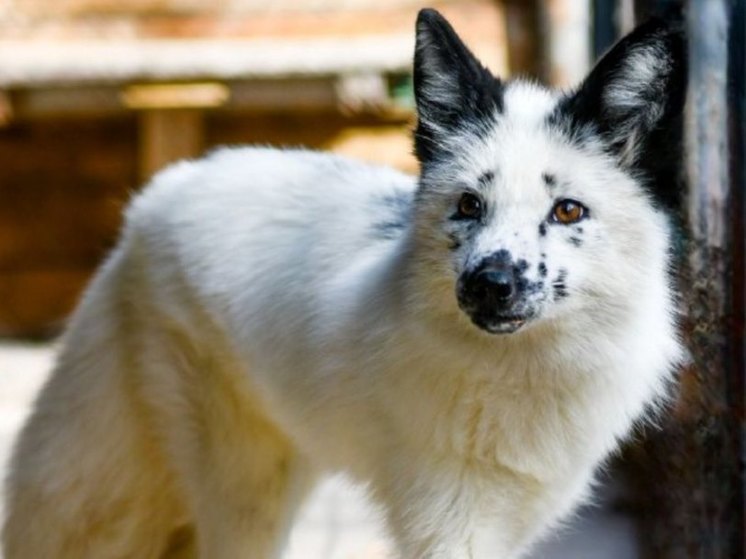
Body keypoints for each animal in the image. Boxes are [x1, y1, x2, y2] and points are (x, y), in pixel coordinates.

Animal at [1, 8, 684, 559]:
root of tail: (154, 197)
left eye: (567, 211)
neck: (523, 377)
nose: (490, 284)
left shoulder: (510, 521)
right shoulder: (446, 527)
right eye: (468, 205)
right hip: (243, 495)